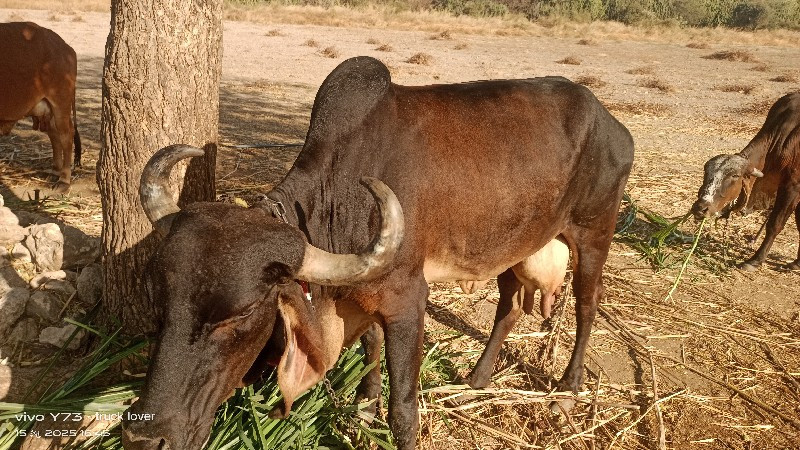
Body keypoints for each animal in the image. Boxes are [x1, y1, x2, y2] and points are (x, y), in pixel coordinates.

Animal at [0, 22, 81, 192]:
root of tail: (66, 48)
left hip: (60, 102)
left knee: (66, 135)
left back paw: (64, 180)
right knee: (54, 135)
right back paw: (55, 171)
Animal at [122, 57, 636, 450]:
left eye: (241, 314)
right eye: (159, 299)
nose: (144, 438)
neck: (340, 194)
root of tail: (614, 125)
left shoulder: (408, 299)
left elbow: (403, 408)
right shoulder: (363, 292)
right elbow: (370, 353)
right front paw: (363, 410)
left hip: (595, 234)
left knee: (587, 305)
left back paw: (567, 390)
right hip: (512, 244)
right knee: (508, 306)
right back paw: (476, 381)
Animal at [692, 92, 800, 270]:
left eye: (734, 176)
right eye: (706, 172)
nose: (700, 208)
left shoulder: (793, 186)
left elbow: (774, 224)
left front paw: (755, 260)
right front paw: (797, 262)